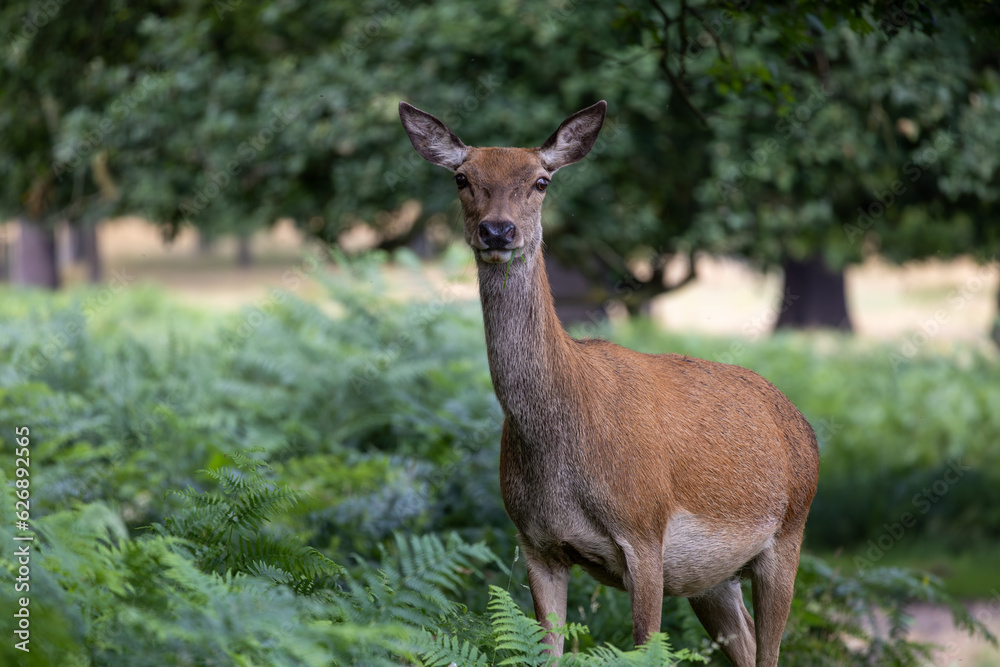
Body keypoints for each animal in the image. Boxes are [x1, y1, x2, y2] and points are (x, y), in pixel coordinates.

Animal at [398, 100, 820, 667]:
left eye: (541, 181)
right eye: (462, 178)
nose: (498, 231)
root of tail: (803, 425)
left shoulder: (644, 534)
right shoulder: (536, 543)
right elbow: (547, 650)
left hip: (789, 531)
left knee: (771, 648)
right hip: (713, 578)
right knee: (748, 643)